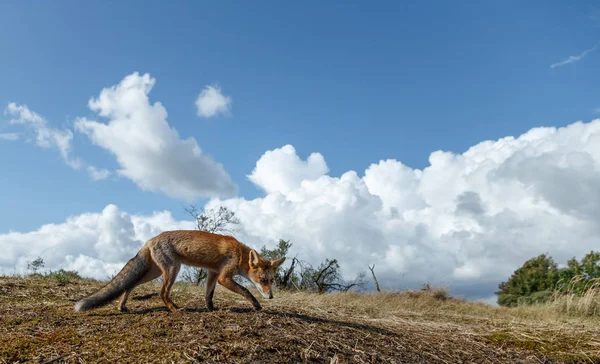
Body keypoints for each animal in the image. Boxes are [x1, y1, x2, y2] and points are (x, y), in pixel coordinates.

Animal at [74, 230, 286, 312]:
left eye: (271, 280)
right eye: (262, 280)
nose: (271, 297)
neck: (239, 255)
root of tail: (150, 239)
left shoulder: (212, 273)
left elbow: (208, 295)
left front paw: (210, 309)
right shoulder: (223, 277)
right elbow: (246, 290)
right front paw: (256, 304)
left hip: (154, 273)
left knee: (129, 285)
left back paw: (121, 306)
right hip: (172, 270)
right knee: (162, 293)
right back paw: (175, 309)